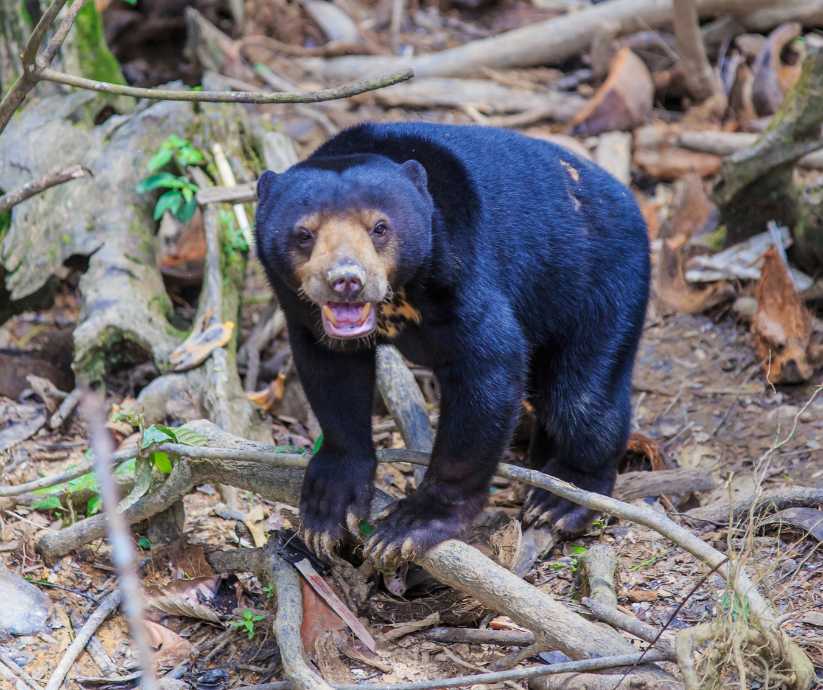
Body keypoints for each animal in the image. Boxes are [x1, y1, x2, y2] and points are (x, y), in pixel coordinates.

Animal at [254, 122, 652, 564]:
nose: (346, 280)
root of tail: (626, 198)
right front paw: (327, 509)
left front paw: (410, 525)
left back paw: (561, 499)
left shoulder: (460, 272)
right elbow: (332, 375)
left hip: (603, 284)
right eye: (304, 234)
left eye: (380, 228)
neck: (400, 296)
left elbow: (489, 369)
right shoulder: (302, 309)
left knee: (581, 400)